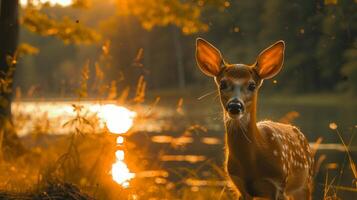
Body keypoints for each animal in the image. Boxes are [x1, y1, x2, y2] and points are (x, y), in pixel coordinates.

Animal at [195, 38, 314, 199]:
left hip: (306, 182)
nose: (235, 106)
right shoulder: (240, 186)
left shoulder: (279, 183)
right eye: (223, 84)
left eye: (252, 85)